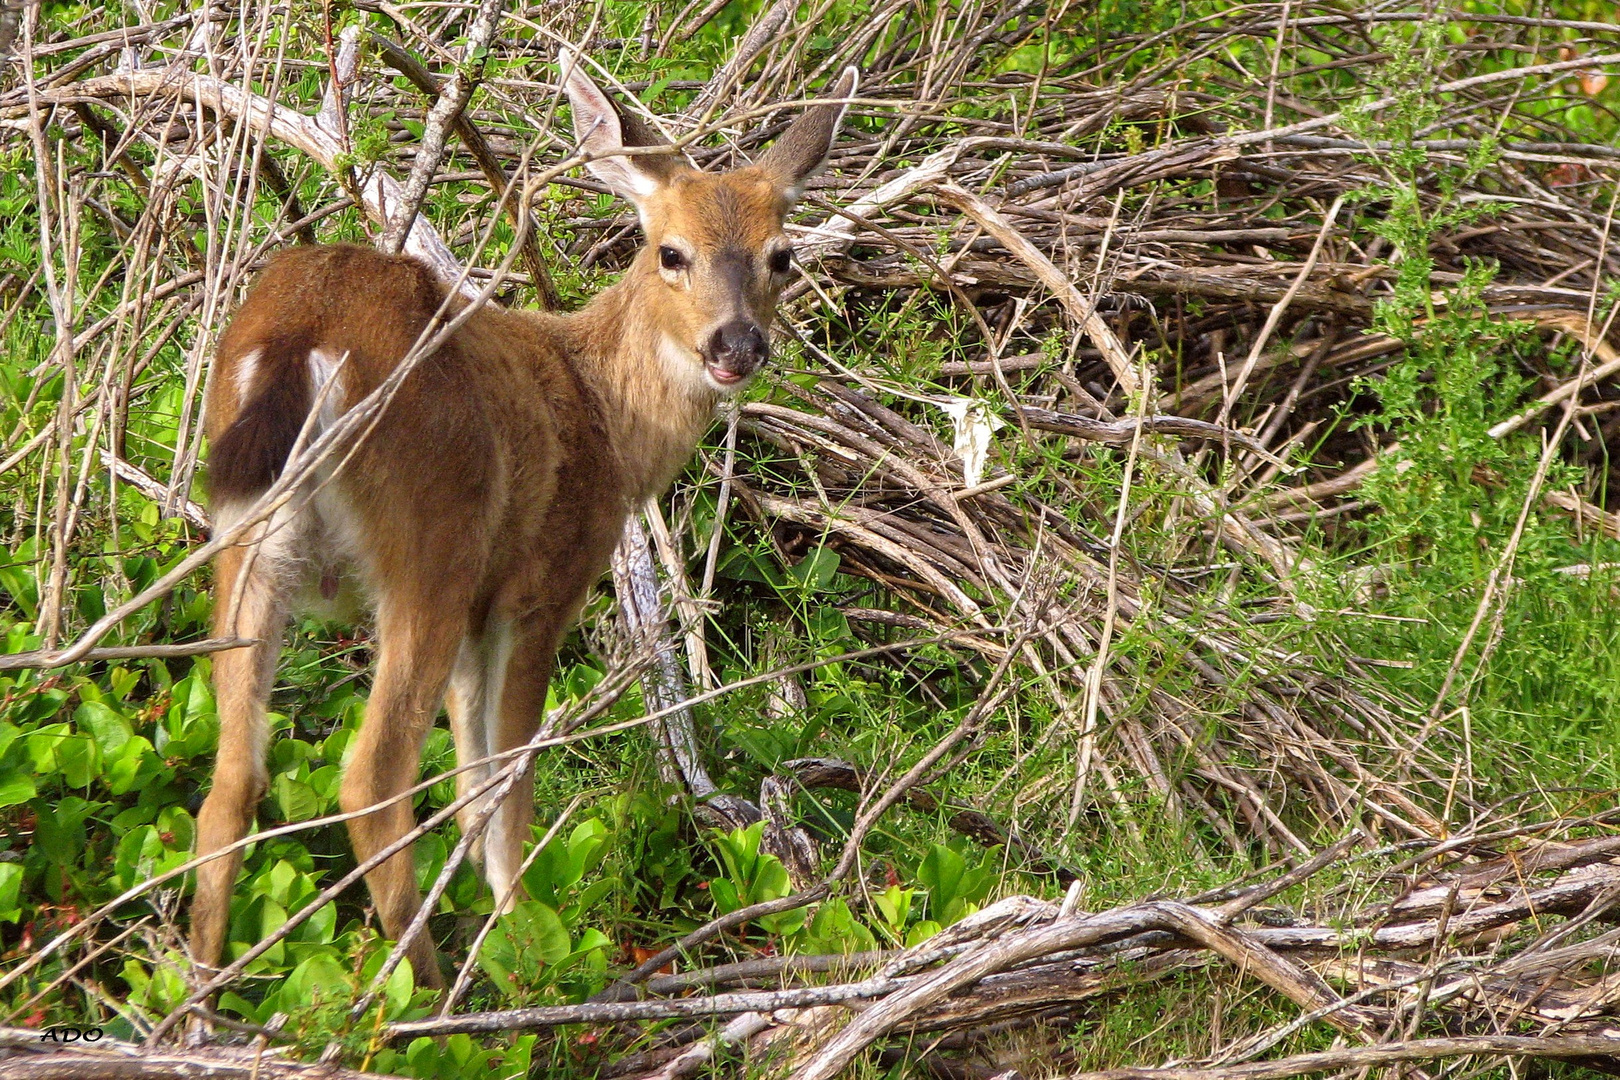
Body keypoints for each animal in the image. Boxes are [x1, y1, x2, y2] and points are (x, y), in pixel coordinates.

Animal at [189, 59, 861, 990]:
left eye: (781, 256)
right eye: (671, 253)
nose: (736, 345)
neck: (606, 412)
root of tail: (301, 339)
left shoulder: (483, 613)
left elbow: (473, 775)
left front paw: (490, 908)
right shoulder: (539, 587)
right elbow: (508, 774)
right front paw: (519, 928)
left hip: (247, 543)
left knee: (230, 776)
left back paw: (200, 991)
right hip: (431, 543)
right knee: (370, 776)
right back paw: (428, 988)